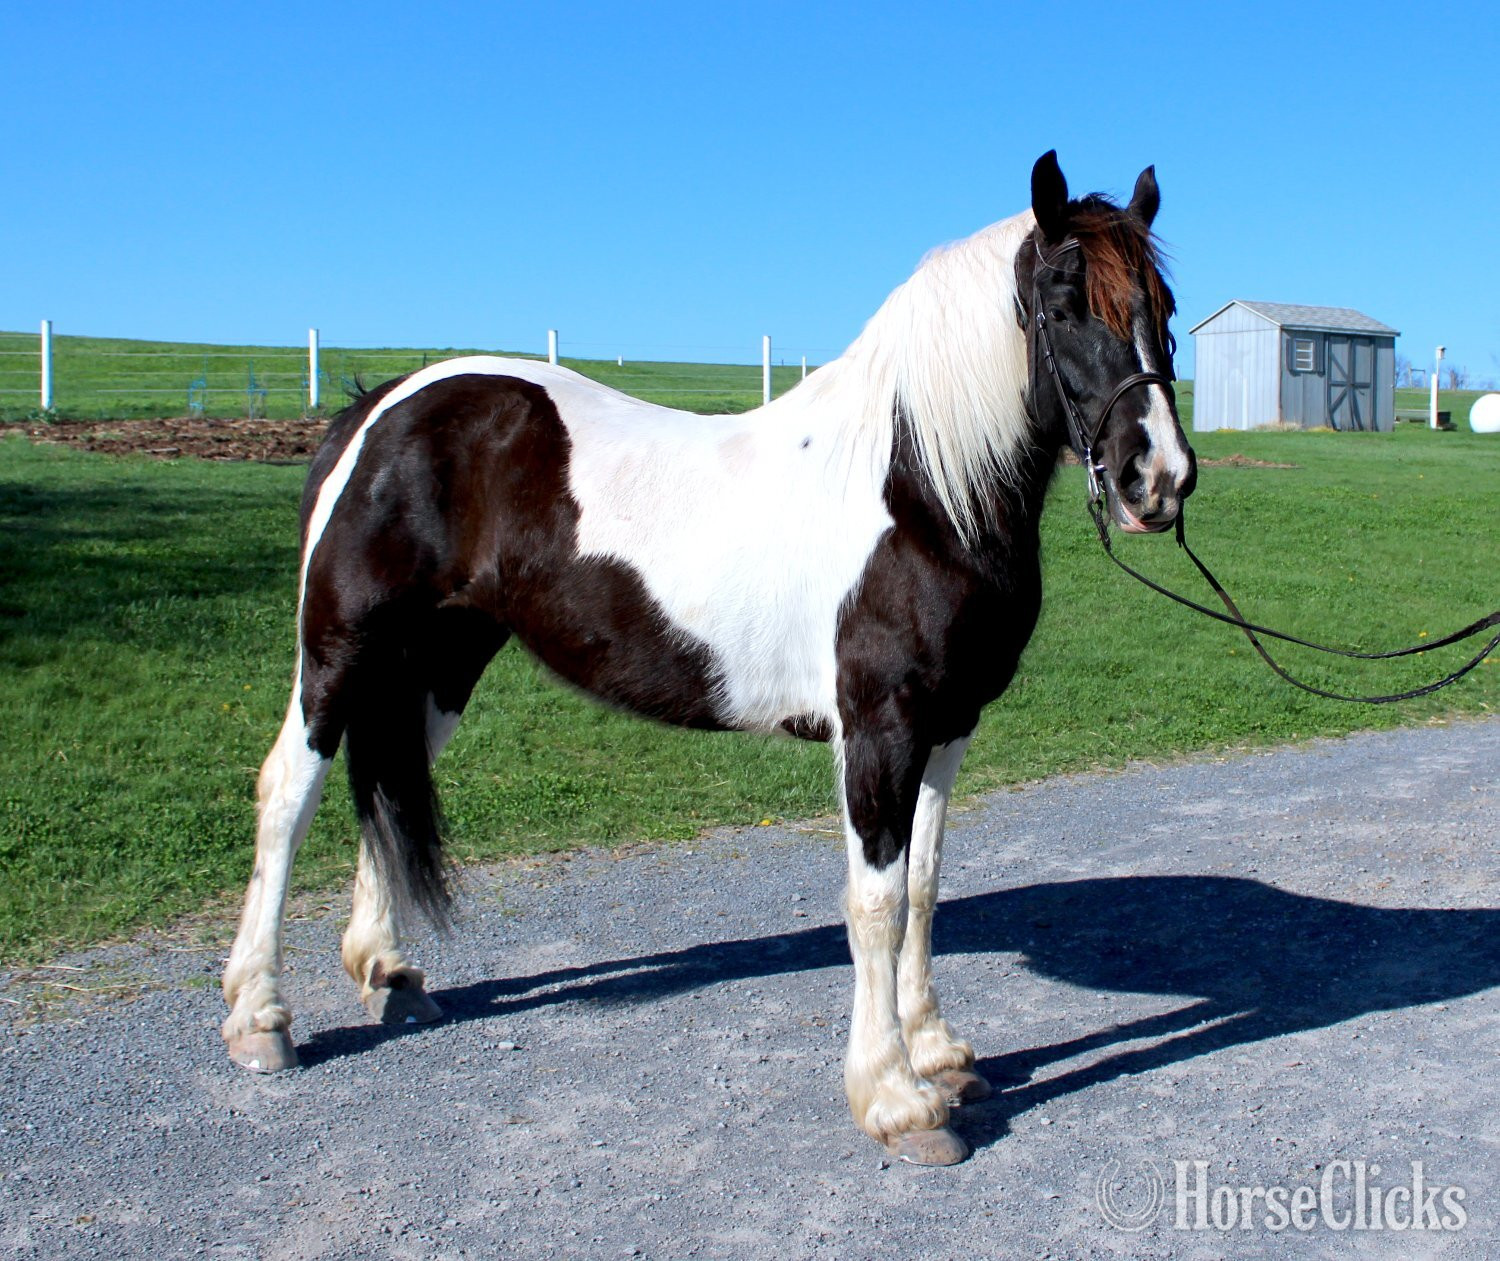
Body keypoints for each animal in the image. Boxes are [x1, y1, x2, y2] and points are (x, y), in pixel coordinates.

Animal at [221, 151, 1196, 1166]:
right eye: (1063, 302)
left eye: (1164, 304)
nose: (1158, 479)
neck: (917, 489)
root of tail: (377, 410)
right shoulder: (879, 730)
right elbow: (876, 906)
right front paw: (896, 1100)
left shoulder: (949, 725)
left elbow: (924, 887)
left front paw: (937, 1053)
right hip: (342, 648)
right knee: (288, 789)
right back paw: (260, 1018)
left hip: (443, 658)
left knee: (387, 773)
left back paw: (387, 970)